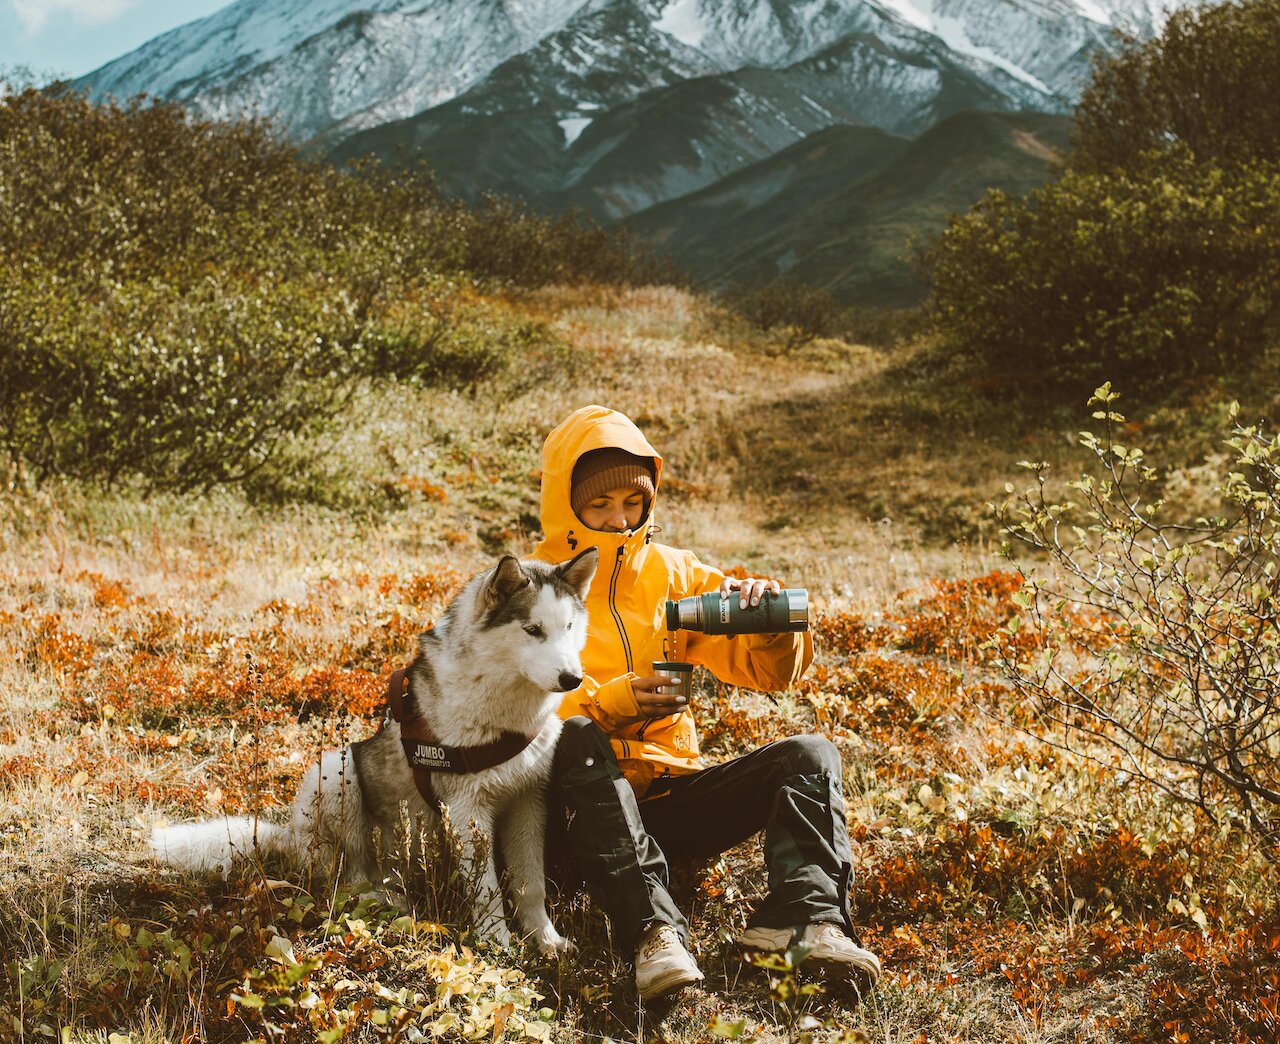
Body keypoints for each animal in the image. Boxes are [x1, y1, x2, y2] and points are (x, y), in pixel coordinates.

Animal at [147, 550, 596, 957]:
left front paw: (546, 940)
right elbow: (486, 890)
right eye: (532, 629)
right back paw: (382, 899)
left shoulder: (528, 800)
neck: (507, 716)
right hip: (334, 771)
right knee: (347, 879)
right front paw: (498, 943)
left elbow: (531, 884)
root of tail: (289, 836)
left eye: (568, 627)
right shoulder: (469, 810)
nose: (572, 678)